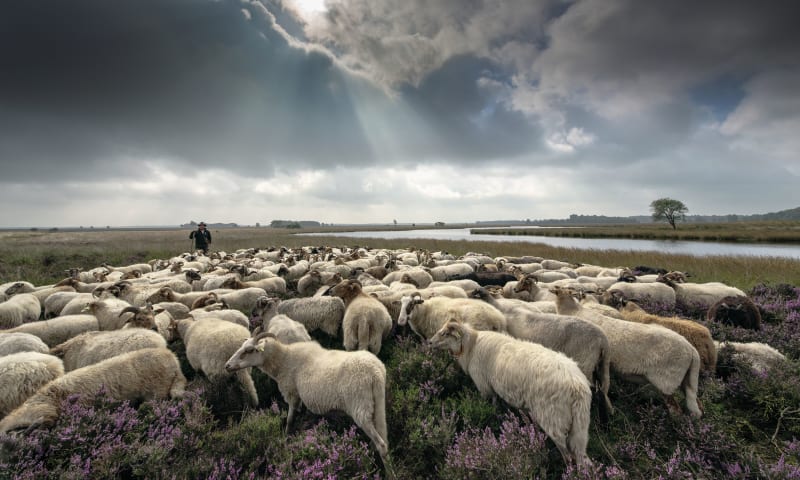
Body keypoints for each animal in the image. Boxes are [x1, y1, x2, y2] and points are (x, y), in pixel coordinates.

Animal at [223, 332, 390, 460]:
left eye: (249, 350)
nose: (227, 366)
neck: (283, 360)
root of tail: (375, 372)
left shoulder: (292, 394)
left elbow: (290, 420)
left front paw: (286, 438)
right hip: (378, 404)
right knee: (383, 440)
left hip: (359, 405)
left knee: (381, 445)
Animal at [428, 322, 592, 464]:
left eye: (444, 333)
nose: (429, 342)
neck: (472, 346)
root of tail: (577, 386)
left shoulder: (485, 386)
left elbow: (491, 404)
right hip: (580, 425)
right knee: (580, 455)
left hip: (553, 418)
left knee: (567, 453)